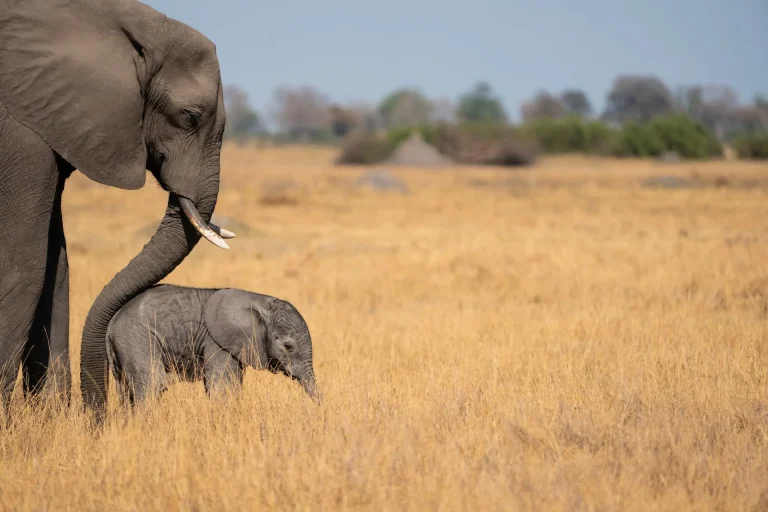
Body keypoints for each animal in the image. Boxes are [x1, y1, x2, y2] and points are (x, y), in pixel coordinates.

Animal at [0, 0, 238, 421]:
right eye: (190, 117)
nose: (104, 415)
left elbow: (55, 264)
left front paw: (51, 422)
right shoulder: (19, 136)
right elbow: (24, 263)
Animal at [105, 284, 320, 407]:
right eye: (288, 346)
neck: (260, 301)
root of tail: (111, 324)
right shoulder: (216, 342)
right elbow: (221, 387)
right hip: (136, 337)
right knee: (152, 384)